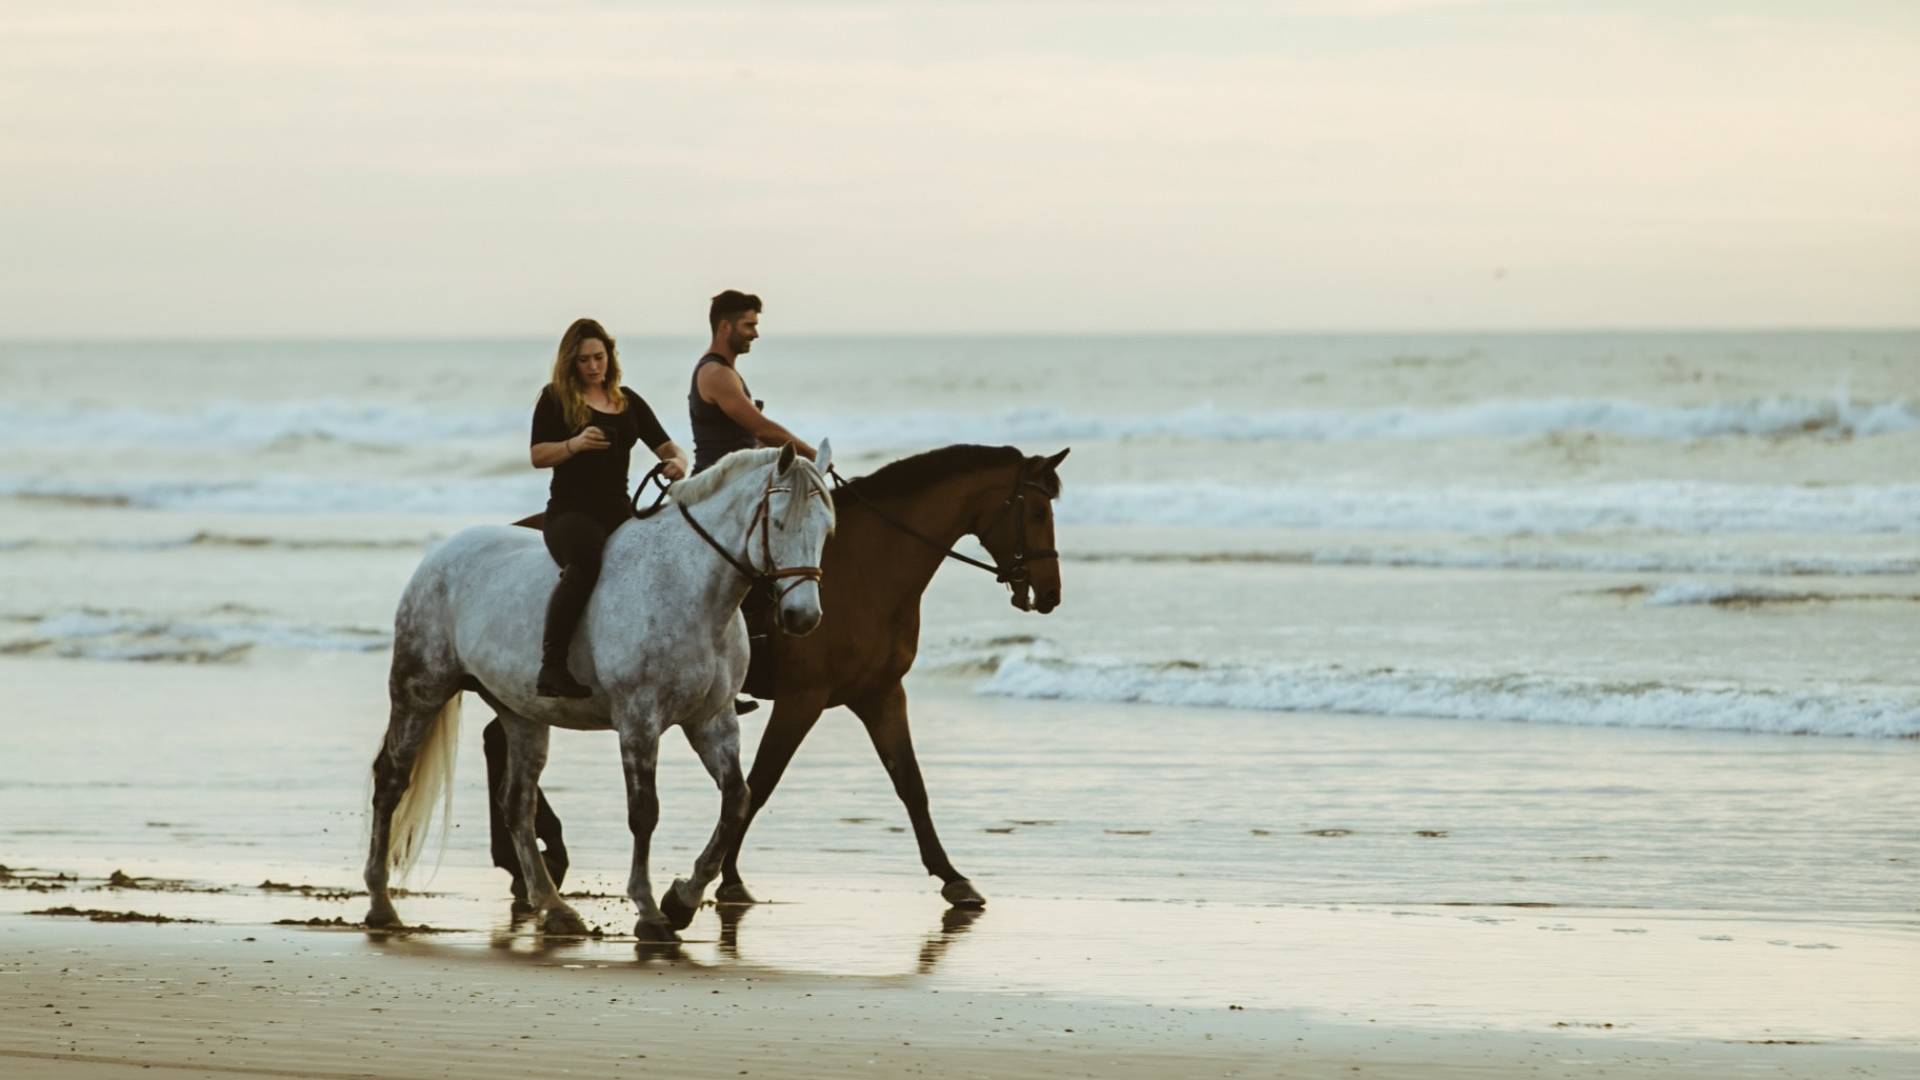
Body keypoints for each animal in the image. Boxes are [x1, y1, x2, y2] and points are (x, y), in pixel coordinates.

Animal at [363, 442, 837, 941]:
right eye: (778, 523)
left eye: (827, 528)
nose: (803, 616)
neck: (689, 588)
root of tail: (438, 557)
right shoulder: (639, 718)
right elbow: (644, 811)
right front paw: (650, 911)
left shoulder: (712, 720)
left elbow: (736, 801)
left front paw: (682, 900)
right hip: (420, 690)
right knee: (391, 780)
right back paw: (381, 905)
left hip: (521, 713)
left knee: (517, 803)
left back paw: (554, 907)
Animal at [486, 443, 1068, 912]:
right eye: (1038, 510)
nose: (1050, 592)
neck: (869, 568)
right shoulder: (803, 699)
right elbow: (761, 783)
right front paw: (723, 879)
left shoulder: (881, 694)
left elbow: (910, 785)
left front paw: (953, 878)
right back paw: (535, 857)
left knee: (498, 738)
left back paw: (527, 859)